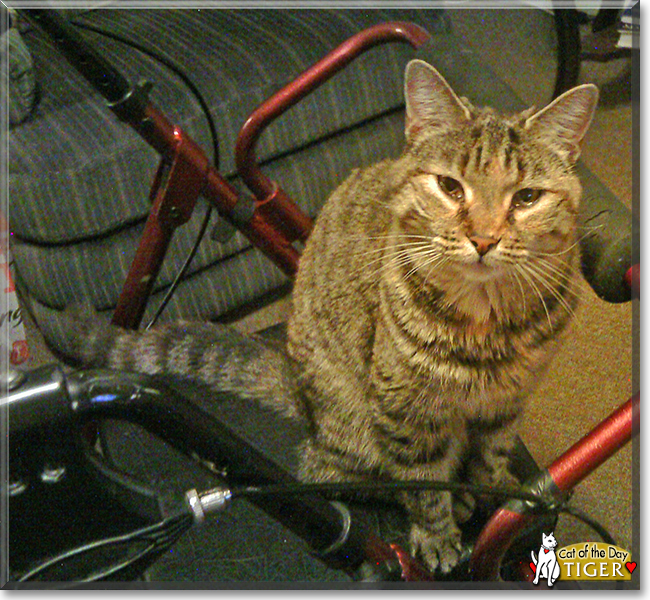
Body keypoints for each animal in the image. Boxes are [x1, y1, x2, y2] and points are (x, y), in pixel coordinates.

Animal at [55, 59, 596, 572]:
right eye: (450, 187)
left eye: (527, 197)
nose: (484, 239)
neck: (485, 319)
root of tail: (300, 392)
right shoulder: (404, 408)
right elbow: (423, 483)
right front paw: (438, 534)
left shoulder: (506, 403)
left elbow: (490, 459)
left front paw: (490, 494)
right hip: (354, 429)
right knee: (334, 476)